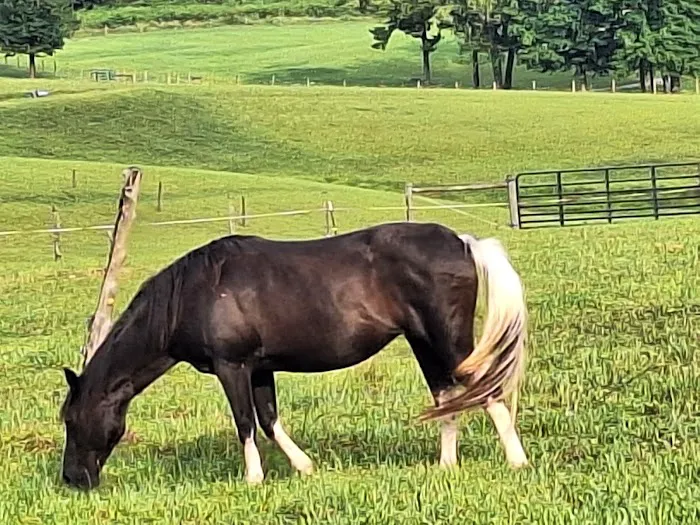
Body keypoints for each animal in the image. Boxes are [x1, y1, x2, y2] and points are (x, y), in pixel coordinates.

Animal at [59, 221, 529, 490]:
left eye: (70, 419)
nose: (73, 480)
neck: (194, 293)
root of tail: (462, 242)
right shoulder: (259, 368)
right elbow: (269, 419)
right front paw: (304, 467)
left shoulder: (232, 366)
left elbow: (246, 422)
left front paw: (253, 478)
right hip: (424, 342)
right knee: (447, 396)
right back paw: (446, 465)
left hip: (448, 340)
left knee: (485, 391)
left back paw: (516, 461)